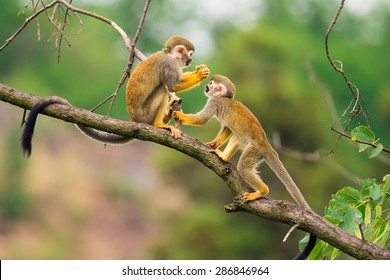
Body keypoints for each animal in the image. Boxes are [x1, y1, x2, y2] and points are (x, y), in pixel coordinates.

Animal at [20, 35, 210, 155]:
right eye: (189, 55)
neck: (170, 55)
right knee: (162, 89)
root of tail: (135, 120)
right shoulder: (169, 65)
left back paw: (168, 113)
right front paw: (200, 74)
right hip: (145, 114)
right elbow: (173, 85)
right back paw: (158, 123)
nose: (191, 61)